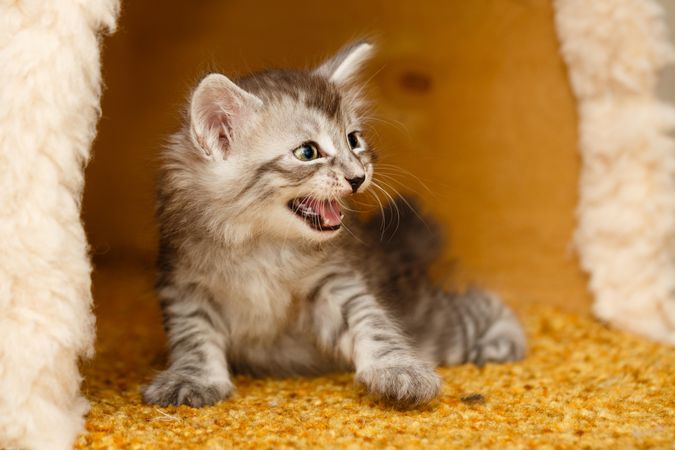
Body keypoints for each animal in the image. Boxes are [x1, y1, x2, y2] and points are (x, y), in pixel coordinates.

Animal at [143, 42, 528, 408]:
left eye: (353, 140)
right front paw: (192, 379)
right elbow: (194, 336)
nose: (357, 177)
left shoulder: (333, 281)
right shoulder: (184, 285)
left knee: (478, 304)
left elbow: (371, 322)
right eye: (307, 153)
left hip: (432, 325)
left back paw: (507, 338)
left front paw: (398, 370)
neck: (260, 244)